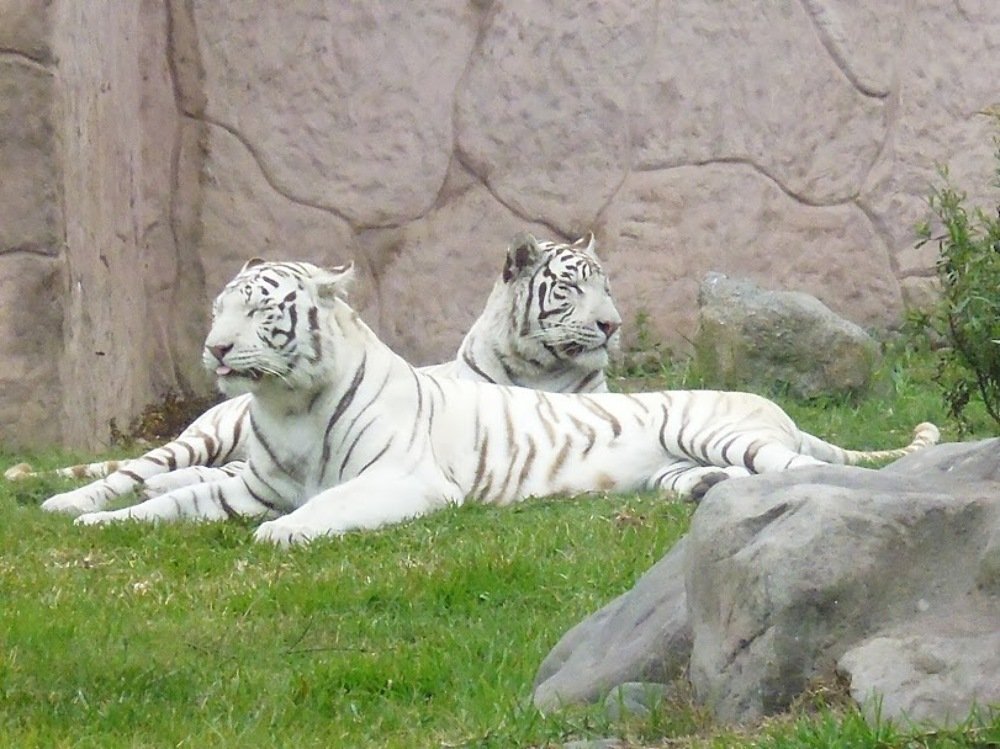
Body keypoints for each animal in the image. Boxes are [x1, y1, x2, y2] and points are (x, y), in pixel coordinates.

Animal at [17, 232, 622, 516]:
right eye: (570, 287)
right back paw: (67, 502)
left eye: (605, 287)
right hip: (201, 438)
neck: (542, 367)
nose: (612, 324)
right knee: (133, 472)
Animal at [68, 259, 940, 546]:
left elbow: (318, 511)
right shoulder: (246, 483)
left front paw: (279, 535)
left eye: (259, 312)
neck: (285, 402)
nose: (215, 349)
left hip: (727, 434)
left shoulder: (405, 481)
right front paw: (99, 523)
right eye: (220, 308)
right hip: (676, 468)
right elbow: (166, 503)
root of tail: (774, 406)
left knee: (800, 468)